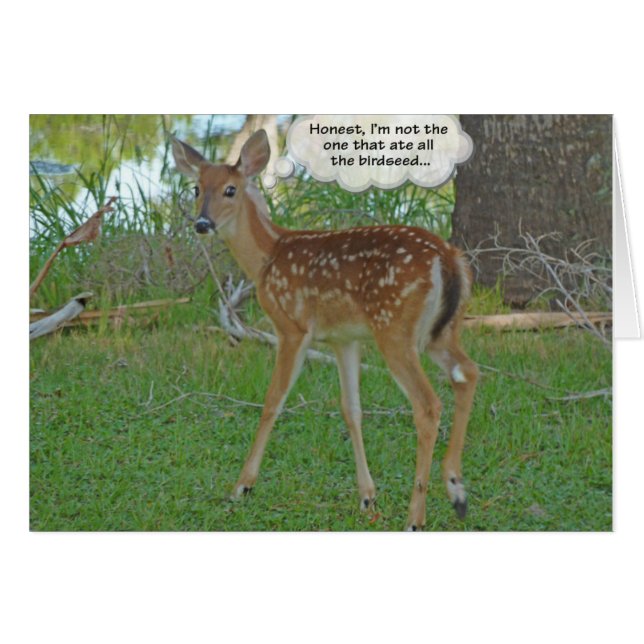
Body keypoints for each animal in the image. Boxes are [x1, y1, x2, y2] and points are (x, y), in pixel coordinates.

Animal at [172, 129, 478, 530]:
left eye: (230, 189)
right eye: (196, 188)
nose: (202, 224)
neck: (267, 258)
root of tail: (448, 257)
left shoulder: (292, 326)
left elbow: (273, 400)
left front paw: (242, 486)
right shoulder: (343, 339)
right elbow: (351, 409)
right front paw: (367, 497)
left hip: (394, 328)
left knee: (428, 403)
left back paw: (417, 516)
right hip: (441, 331)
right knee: (467, 373)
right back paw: (456, 490)